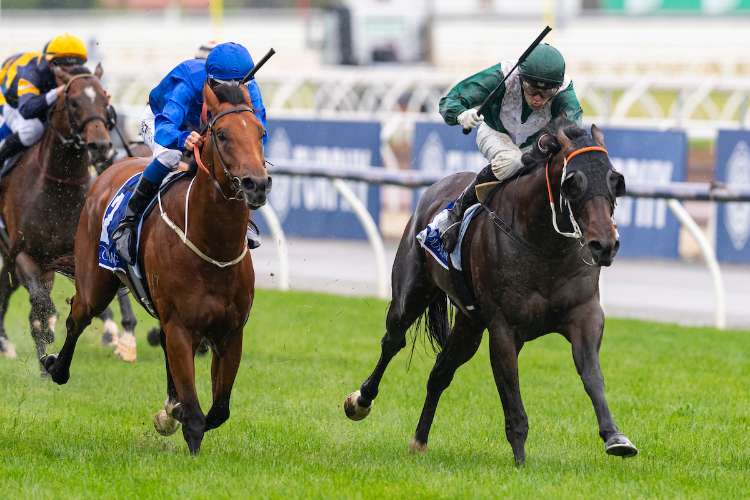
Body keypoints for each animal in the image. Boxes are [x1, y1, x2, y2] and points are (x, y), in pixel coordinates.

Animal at [0, 64, 131, 367]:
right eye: (74, 102)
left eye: (105, 100)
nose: (100, 146)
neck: (59, 187)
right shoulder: (24, 251)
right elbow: (39, 300)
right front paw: (47, 329)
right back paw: (7, 343)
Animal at [42, 82, 269, 454]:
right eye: (221, 134)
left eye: (260, 132)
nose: (257, 184)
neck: (212, 247)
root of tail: (112, 168)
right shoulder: (181, 327)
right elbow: (196, 416)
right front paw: (186, 437)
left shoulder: (231, 332)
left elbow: (218, 410)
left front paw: (172, 411)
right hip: (95, 282)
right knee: (78, 317)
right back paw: (54, 365)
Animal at [344, 119, 637, 465]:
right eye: (572, 183)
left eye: (615, 180)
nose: (605, 244)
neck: (544, 246)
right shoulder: (503, 328)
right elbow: (511, 392)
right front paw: (520, 461)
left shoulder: (584, 315)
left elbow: (591, 375)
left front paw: (615, 437)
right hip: (411, 293)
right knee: (392, 341)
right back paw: (360, 401)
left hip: (469, 325)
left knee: (440, 372)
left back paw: (419, 440)